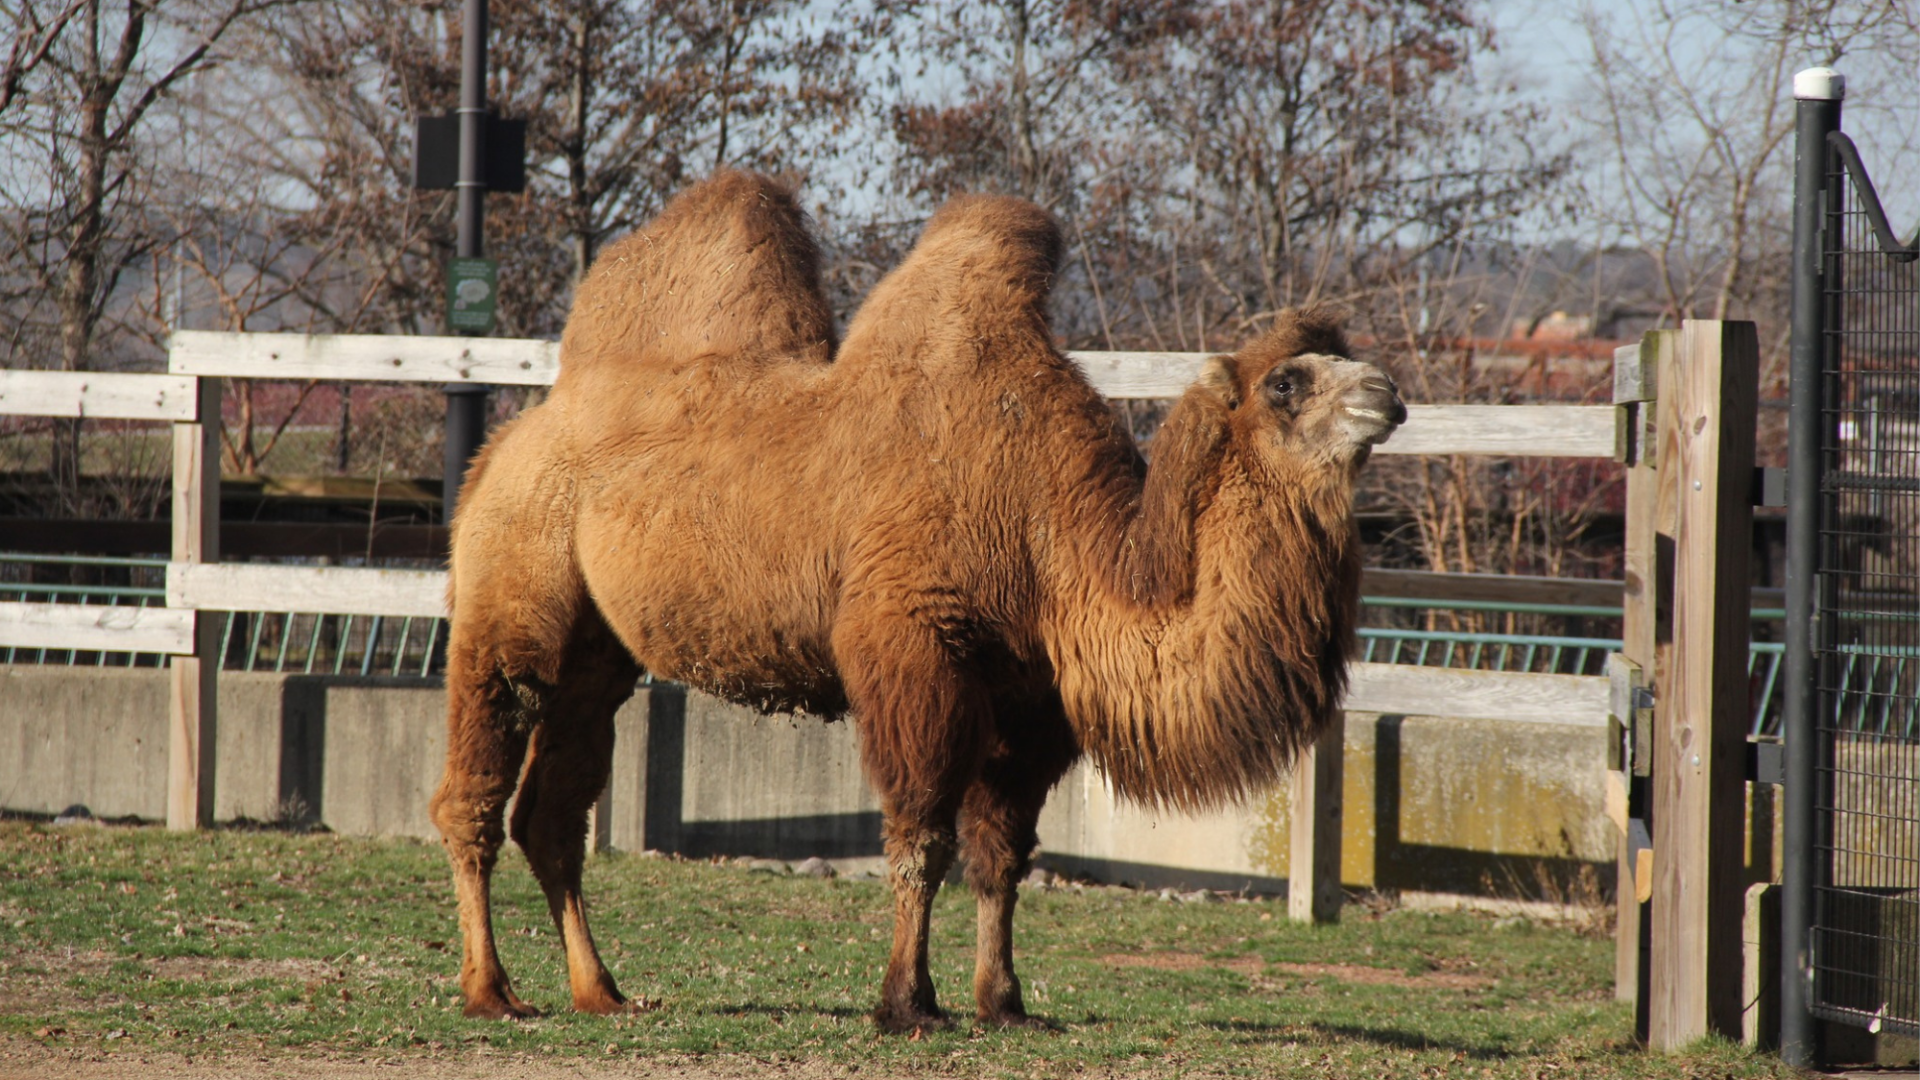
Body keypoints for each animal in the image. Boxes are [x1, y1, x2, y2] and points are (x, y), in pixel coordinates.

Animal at [428, 170, 1405, 1032]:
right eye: (1287, 383)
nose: (1388, 394)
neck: (1052, 537)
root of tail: (504, 443)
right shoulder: (915, 646)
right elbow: (921, 839)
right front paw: (907, 1004)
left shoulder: (1032, 701)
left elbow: (1003, 856)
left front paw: (1004, 1002)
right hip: (508, 594)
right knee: (474, 792)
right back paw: (491, 992)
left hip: (600, 653)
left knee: (552, 813)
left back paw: (602, 992)